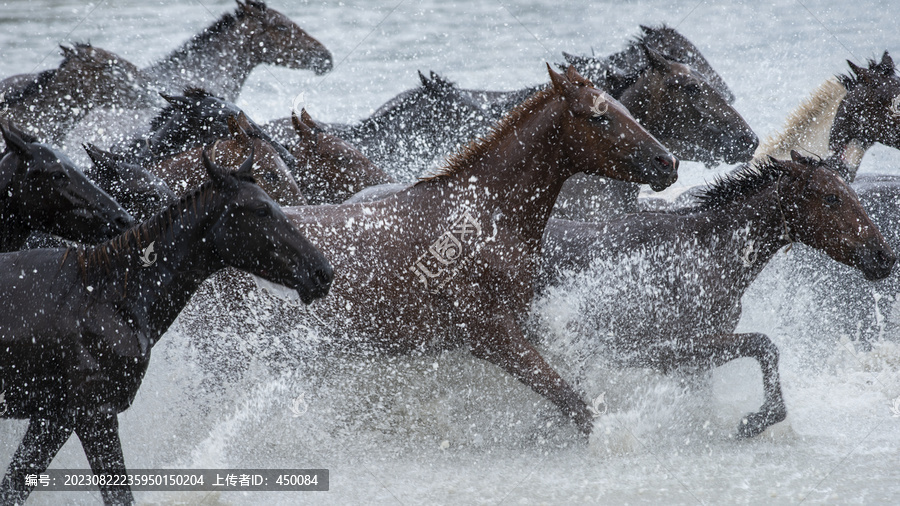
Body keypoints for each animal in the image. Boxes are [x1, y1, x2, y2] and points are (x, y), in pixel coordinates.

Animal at [272, 65, 676, 436]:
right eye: (599, 117)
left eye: (623, 109)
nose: (667, 163)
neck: (480, 221)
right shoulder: (490, 334)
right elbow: (566, 397)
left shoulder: (519, 317)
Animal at [536, 153, 896, 438]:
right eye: (832, 197)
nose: (885, 256)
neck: (705, 253)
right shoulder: (663, 349)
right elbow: (764, 345)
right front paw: (758, 419)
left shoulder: (697, 354)